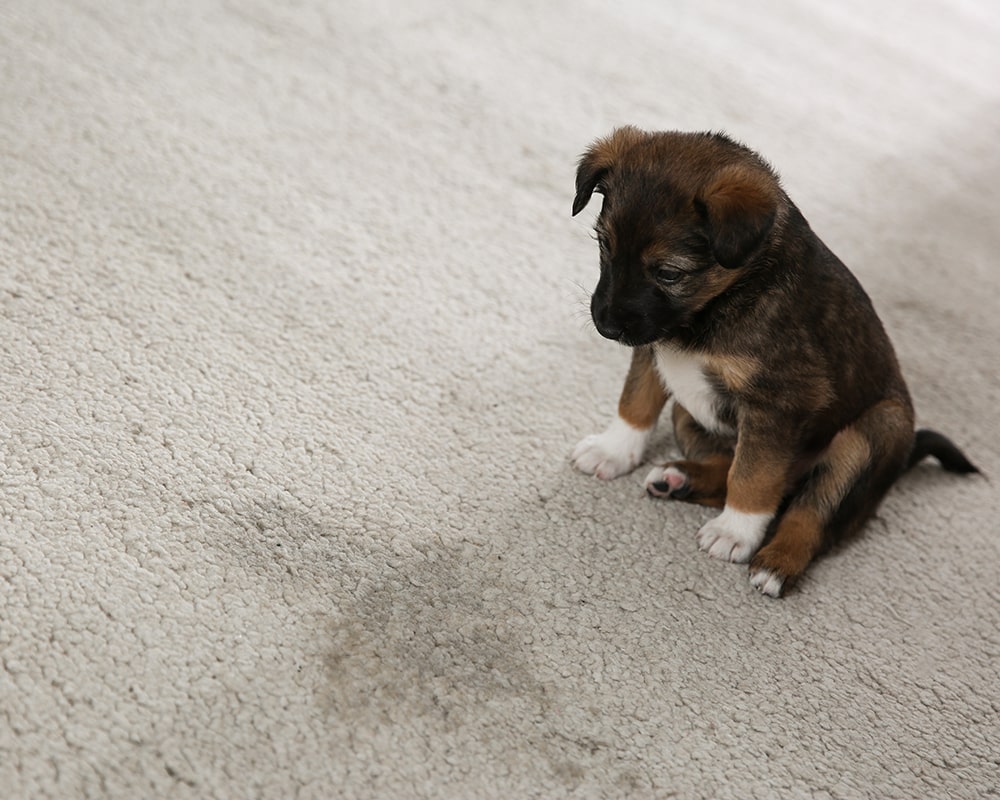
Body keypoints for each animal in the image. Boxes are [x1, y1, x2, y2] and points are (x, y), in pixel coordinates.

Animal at [572, 128, 976, 596]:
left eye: (670, 273)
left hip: (875, 431)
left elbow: (755, 475)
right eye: (604, 245)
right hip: (687, 412)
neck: (719, 304)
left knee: (809, 511)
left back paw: (777, 561)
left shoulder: (779, 402)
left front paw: (736, 531)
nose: (605, 325)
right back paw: (679, 479)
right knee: (734, 470)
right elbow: (635, 403)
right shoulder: (653, 348)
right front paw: (613, 451)